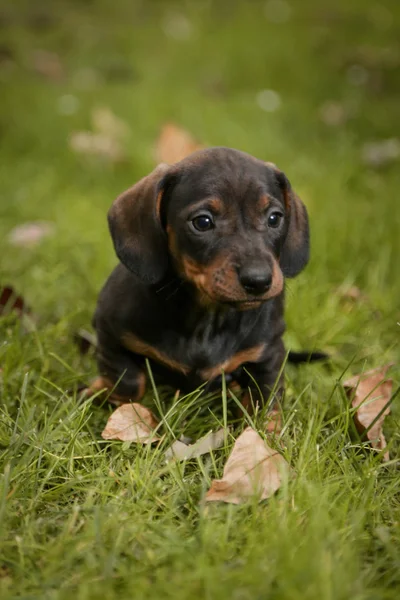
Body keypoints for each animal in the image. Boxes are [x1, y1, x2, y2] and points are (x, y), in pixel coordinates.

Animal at [93, 147, 310, 412]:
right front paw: (123, 411)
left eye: (274, 218)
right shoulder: (110, 334)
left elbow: (265, 400)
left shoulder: (269, 353)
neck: (208, 318)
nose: (259, 281)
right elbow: (128, 381)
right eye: (203, 222)